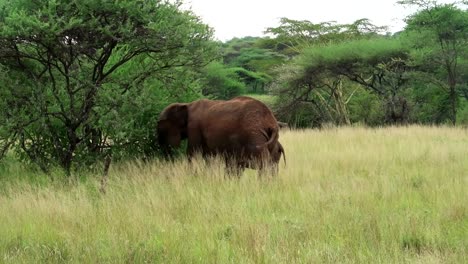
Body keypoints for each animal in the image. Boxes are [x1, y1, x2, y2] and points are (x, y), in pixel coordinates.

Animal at [157, 96, 286, 176]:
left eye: (160, 126)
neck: (186, 105)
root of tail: (271, 123)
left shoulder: (194, 127)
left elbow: (193, 152)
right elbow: (207, 157)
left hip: (254, 136)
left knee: (263, 164)